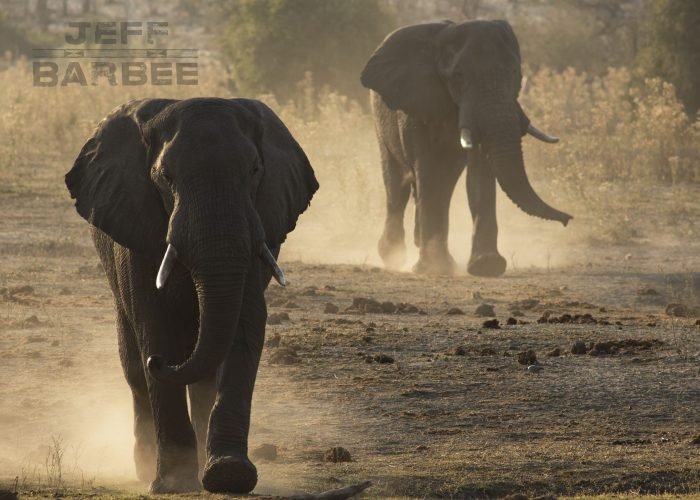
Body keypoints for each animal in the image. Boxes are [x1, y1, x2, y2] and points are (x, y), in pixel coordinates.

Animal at [65, 97, 318, 493]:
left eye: (255, 170)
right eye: (166, 178)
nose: (159, 363)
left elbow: (243, 327)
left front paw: (229, 474)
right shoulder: (137, 228)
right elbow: (155, 324)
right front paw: (174, 483)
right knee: (134, 365)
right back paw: (146, 468)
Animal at [361, 20, 572, 277]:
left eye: (514, 73)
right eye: (458, 75)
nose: (567, 219)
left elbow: (480, 173)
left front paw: (486, 266)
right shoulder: (416, 106)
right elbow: (428, 171)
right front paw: (435, 268)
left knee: (444, 186)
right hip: (380, 122)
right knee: (397, 185)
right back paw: (393, 256)